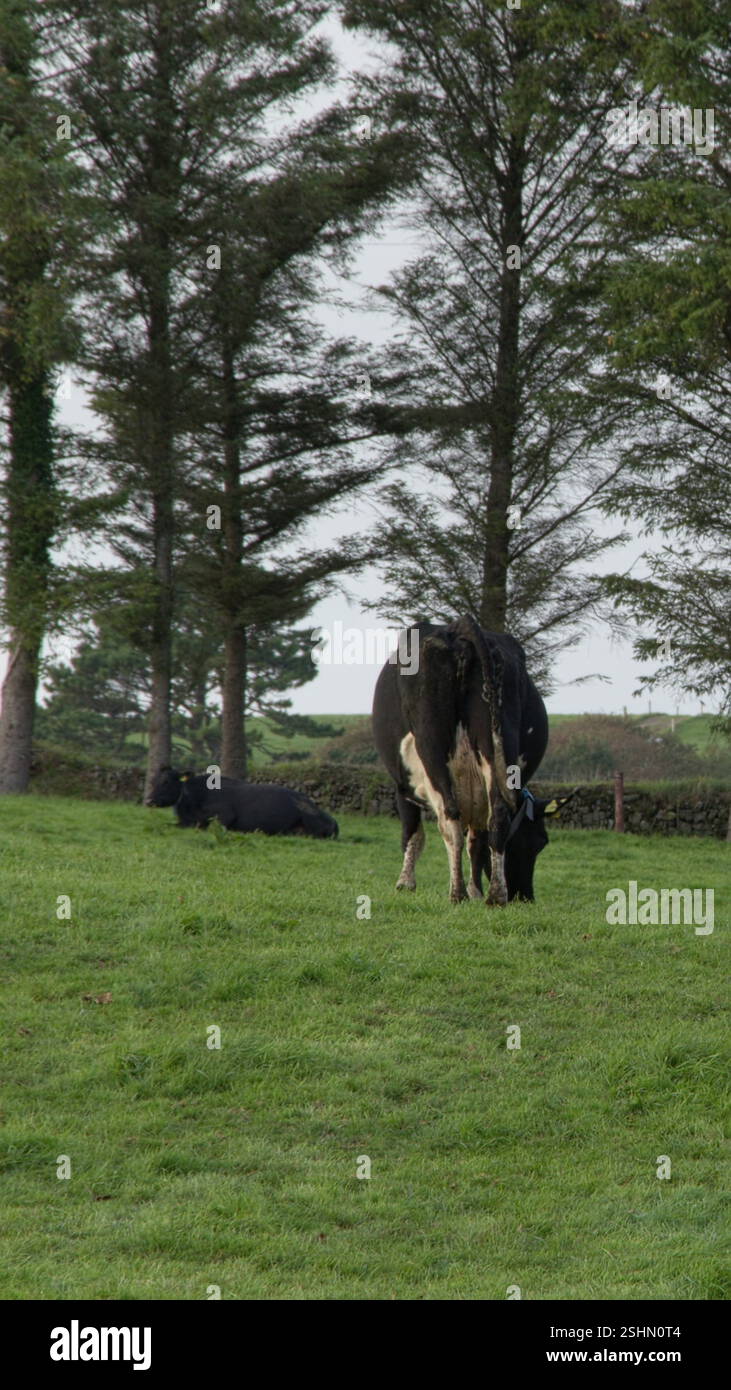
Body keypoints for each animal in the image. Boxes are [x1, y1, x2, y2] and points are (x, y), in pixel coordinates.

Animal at [372, 615, 573, 904]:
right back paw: (495, 896)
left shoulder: (403, 786)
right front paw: (476, 891)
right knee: (497, 816)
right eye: (540, 841)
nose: (524, 896)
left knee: (450, 820)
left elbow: (413, 833)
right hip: (497, 744)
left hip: (432, 748)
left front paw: (406, 883)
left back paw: (457, 894)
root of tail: (458, 627)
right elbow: (477, 842)